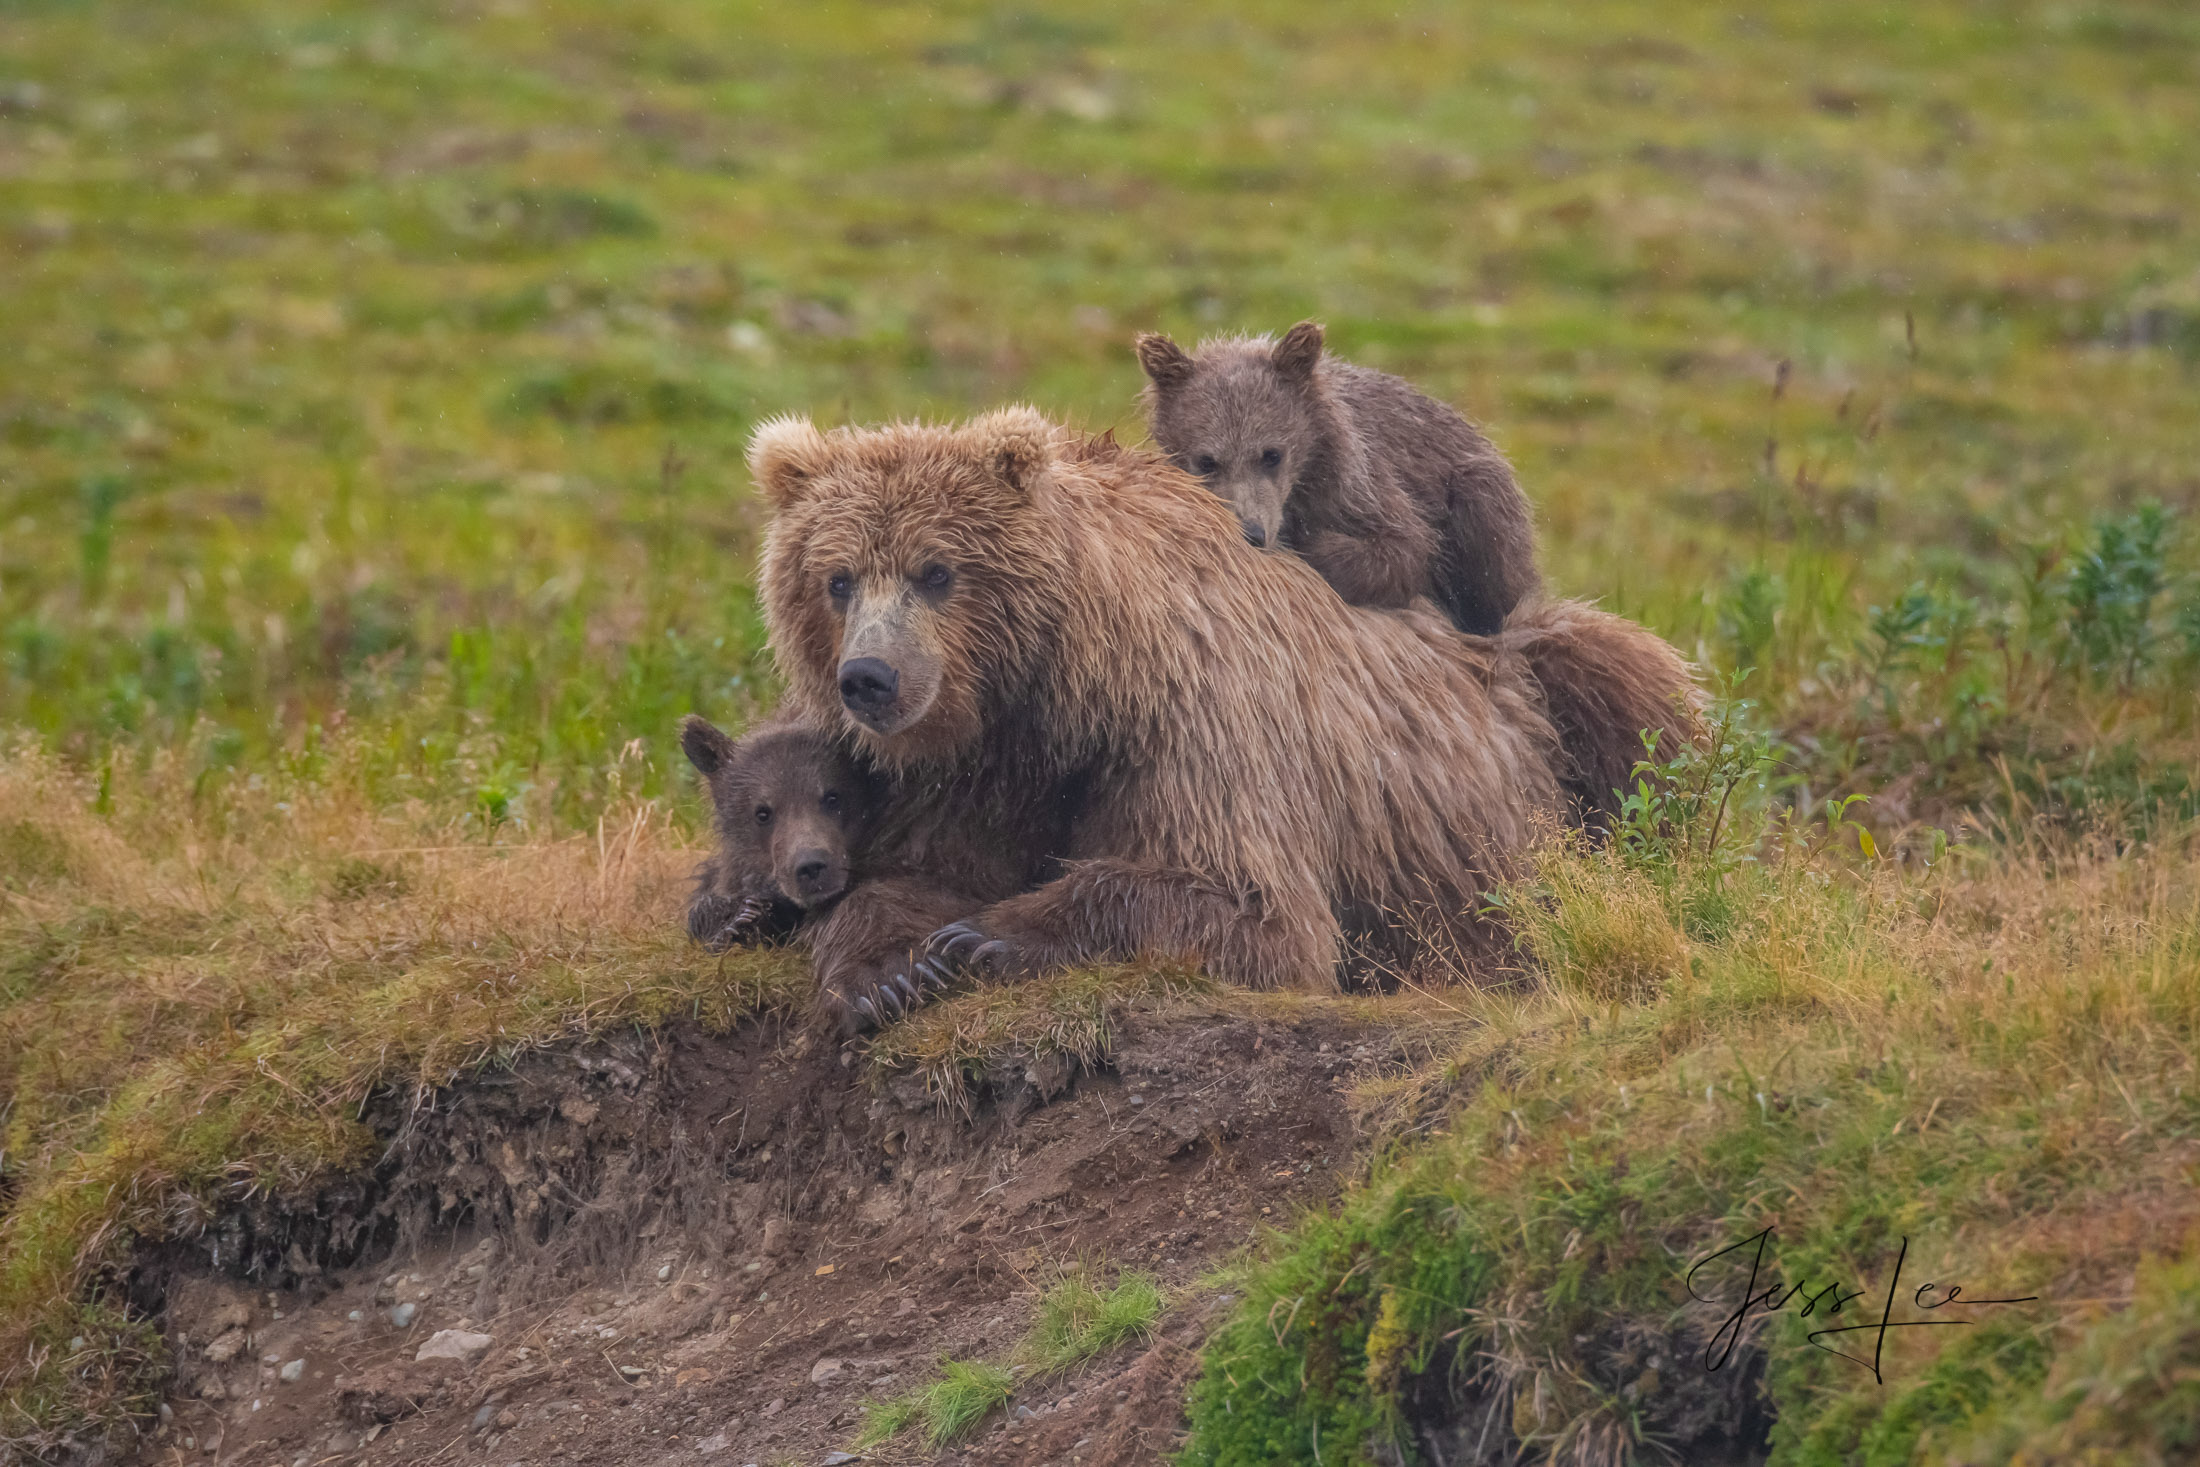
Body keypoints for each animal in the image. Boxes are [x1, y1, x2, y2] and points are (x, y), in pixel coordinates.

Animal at [748, 404, 1689, 1033]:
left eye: (937, 570)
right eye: (837, 578)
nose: (869, 678)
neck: (1062, 693)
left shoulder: (1194, 724)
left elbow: (1251, 906)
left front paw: (987, 935)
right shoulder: (972, 772)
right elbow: (906, 876)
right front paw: (884, 973)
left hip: (1539, 708)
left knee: (1625, 687)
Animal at [1144, 323, 1540, 633]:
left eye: (1272, 454)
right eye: (1207, 461)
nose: (1253, 533)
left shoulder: (1359, 483)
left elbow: (1404, 547)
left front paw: (1310, 543)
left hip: (1477, 485)